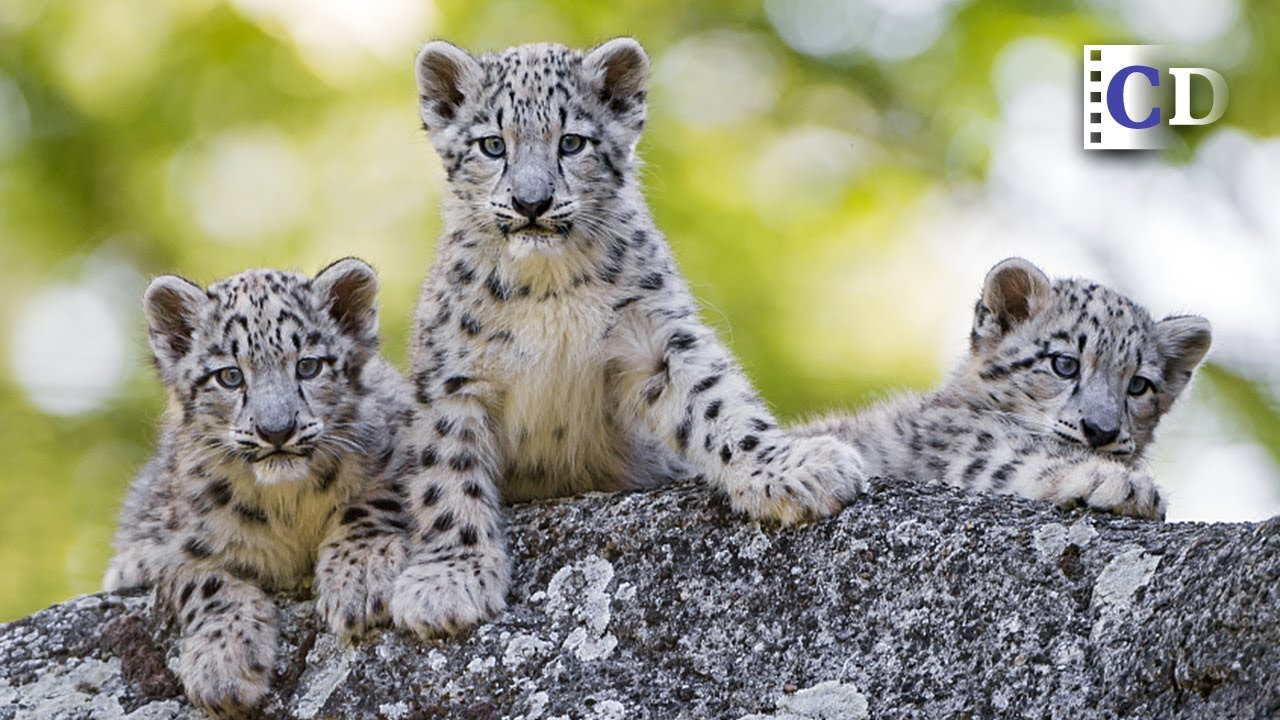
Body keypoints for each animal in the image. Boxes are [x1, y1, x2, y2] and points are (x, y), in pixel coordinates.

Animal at [103, 259, 415, 717]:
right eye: (230, 376)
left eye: (308, 366)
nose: (277, 430)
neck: (288, 503)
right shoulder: (172, 540)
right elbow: (201, 579)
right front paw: (223, 667)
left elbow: (374, 499)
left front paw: (360, 578)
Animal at [388, 38, 867, 638]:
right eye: (492, 145)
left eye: (572, 141)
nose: (531, 203)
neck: (547, 287)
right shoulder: (453, 376)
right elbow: (448, 472)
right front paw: (448, 581)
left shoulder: (656, 335)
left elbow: (717, 402)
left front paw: (791, 468)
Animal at [799, 257, 1212, 520]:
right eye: (1064, 364)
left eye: (1139, 385)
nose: (1101, 430)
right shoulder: (965, 447)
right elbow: (1016, 460)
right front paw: (1124, 485)